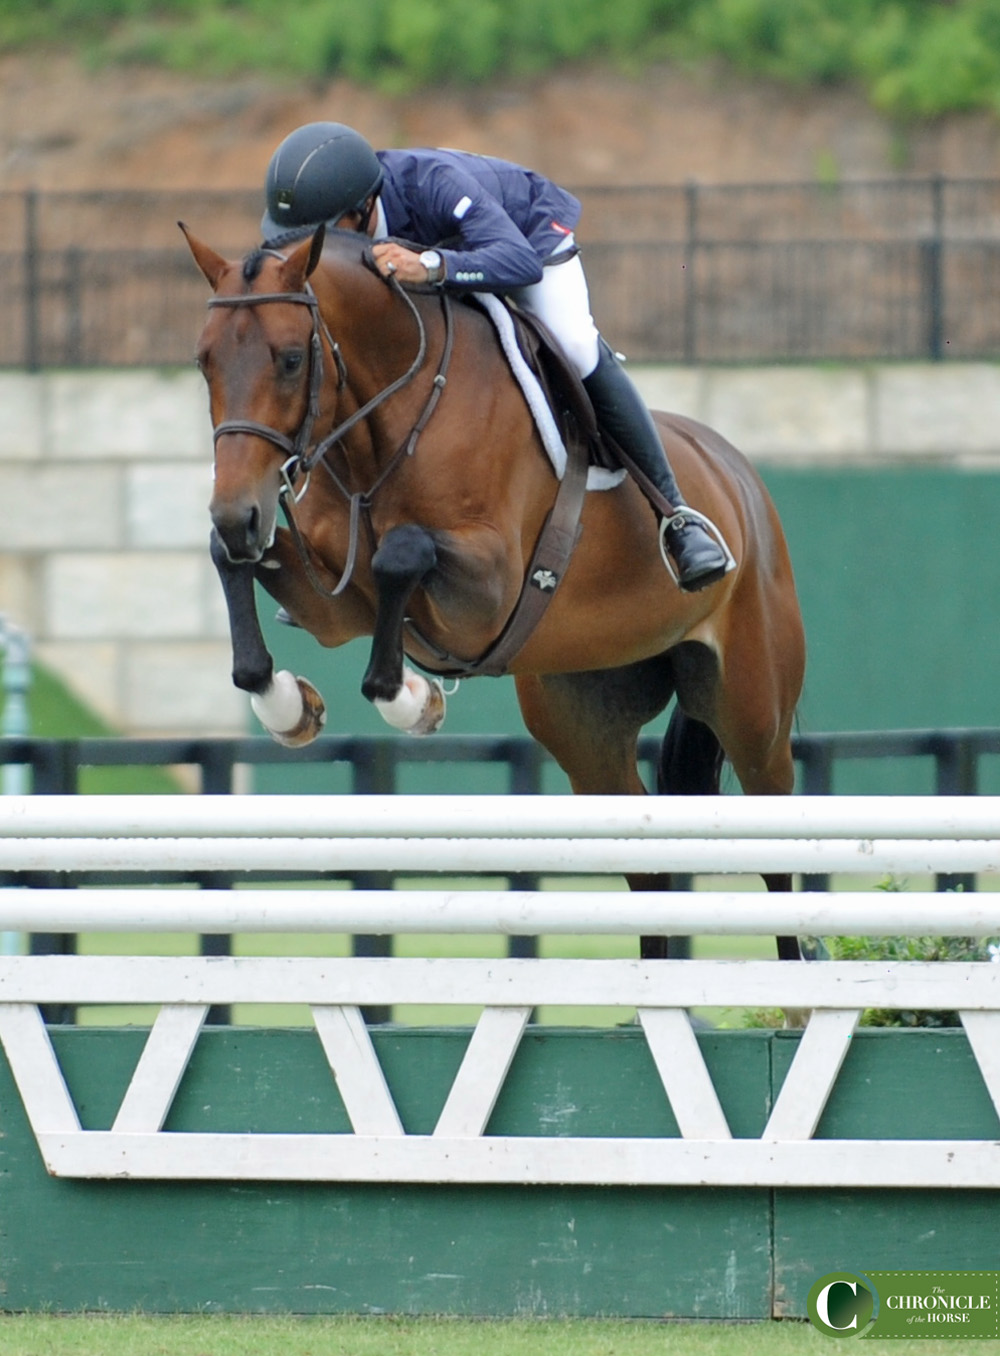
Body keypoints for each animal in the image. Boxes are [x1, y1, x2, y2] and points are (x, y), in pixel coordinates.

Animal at [179, 222, 803, 960]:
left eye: (289, 359)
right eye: (205, 362)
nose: (238, 514)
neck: (388, 418)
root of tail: (740, 477)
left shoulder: (489, 590)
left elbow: (401, 554)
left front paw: (413, 701)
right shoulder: (333, 603)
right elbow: (234, 566)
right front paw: (288, 705)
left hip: (752, 713)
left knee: (776, 849)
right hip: (585, 722)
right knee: (647, 867)